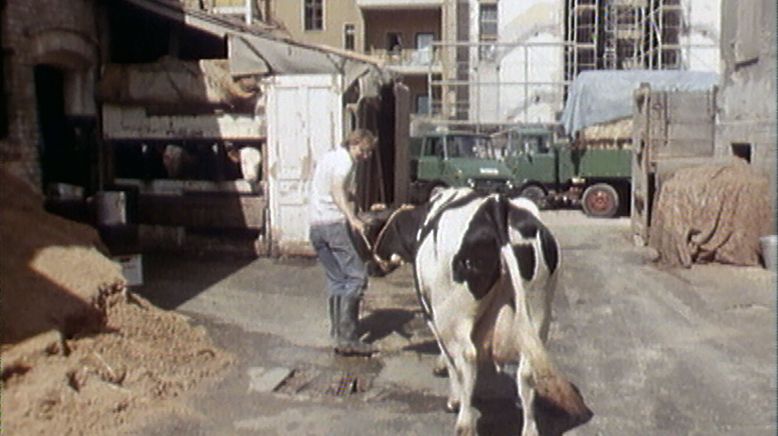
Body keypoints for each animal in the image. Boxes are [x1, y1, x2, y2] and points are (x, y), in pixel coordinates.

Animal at [360, 187, 592, 436]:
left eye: (374, 231)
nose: (371, 267)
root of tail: (496, 205)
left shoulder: (432, 312)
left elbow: (449, 355)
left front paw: (451, 393)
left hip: (453, 313)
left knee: (466, 357)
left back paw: (464, 422)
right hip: (538, 307)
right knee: (526, 370)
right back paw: (529, 429)